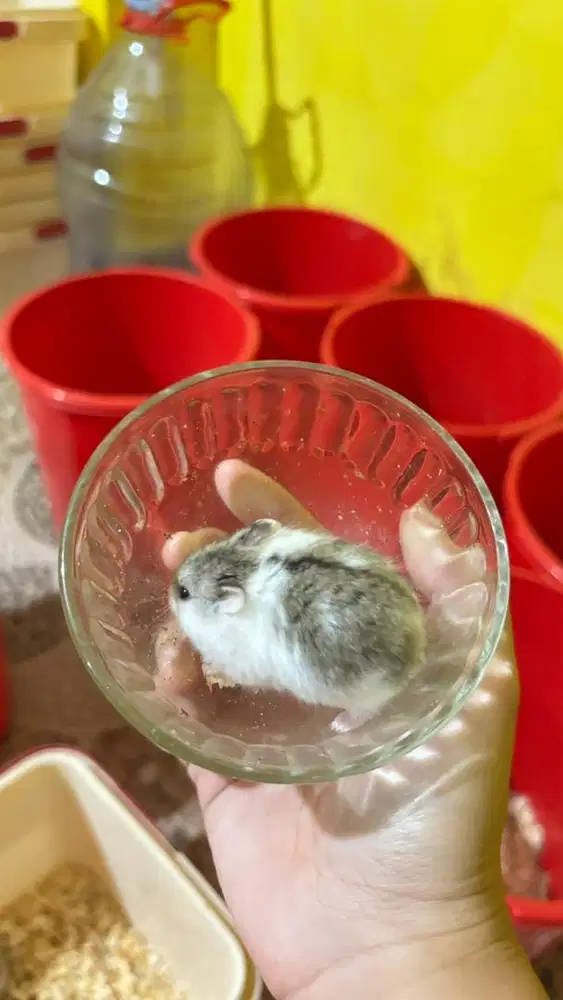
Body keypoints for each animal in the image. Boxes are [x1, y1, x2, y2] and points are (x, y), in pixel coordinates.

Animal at [170, 518, 426, 732]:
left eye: (184, 593)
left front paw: (210, 672)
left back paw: (339, 725)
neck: (246, 570)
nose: (169, 593)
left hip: (368, 693)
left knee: (366, 711)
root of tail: (417, 652)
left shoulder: (242, 665)